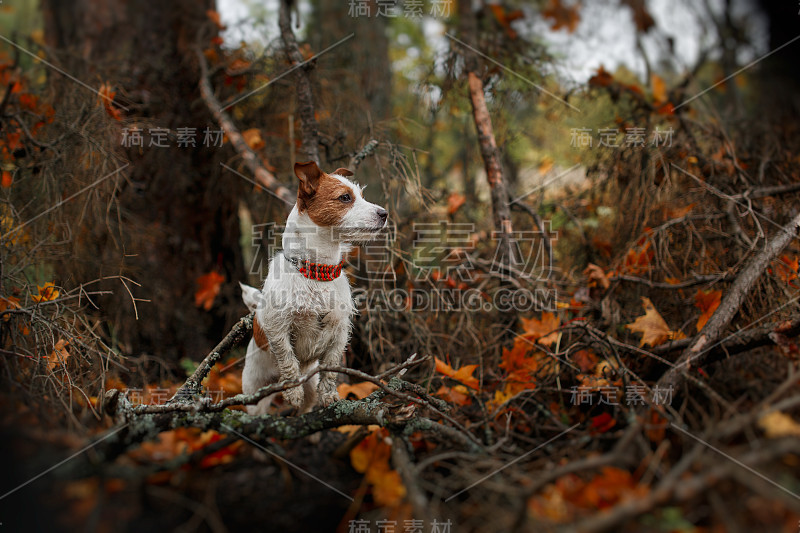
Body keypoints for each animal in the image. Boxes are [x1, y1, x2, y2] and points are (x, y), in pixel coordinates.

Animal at [238, 160, 388, 414]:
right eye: (345, 197)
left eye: (361, 196)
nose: (384, 214)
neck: (316, 273)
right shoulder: (278, 329)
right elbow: (288, 360)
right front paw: (293, 390)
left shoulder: (339, 333)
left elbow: (331, 368)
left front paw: (328, 396)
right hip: (254, 392)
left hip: (309, 384)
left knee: (305, 406)